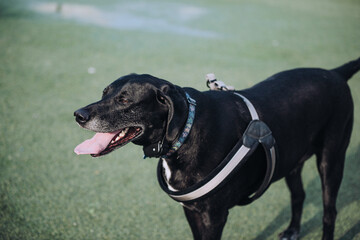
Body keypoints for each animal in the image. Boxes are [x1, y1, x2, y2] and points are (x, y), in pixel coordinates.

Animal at [74, 58, 360, 240]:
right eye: (104, 92)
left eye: (125, 100)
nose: (78, 114)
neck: (185, 132)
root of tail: (335, 72)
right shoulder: (192, 211)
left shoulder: (214, 216)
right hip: (291, 159)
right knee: (299, 195)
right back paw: (292, 231)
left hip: (331, 160)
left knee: (329, 212)